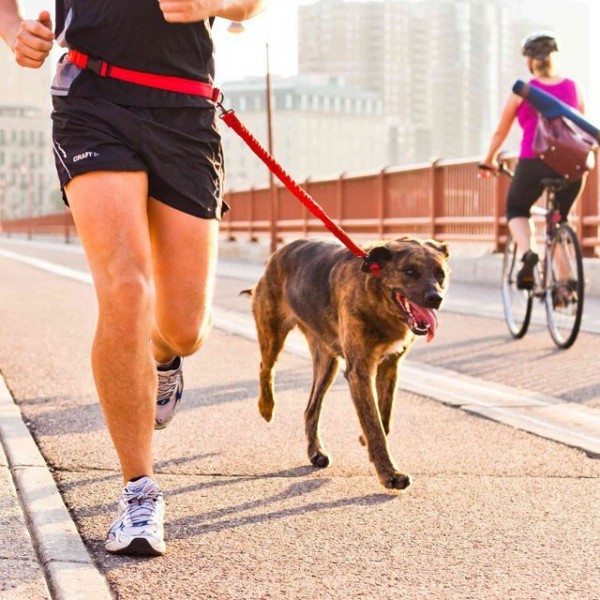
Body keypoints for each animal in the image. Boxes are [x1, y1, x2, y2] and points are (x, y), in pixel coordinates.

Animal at [246, 237, 448, 490]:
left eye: (440, 274)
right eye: (410, 271)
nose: (436, 298)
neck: (377, 297)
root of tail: (277, 253)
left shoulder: (390, 367)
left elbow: (383, 417)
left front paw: (372, 448)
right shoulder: (359, 372)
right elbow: (374, 425)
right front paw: (389, 473)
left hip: (327, 364)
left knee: (311, 408)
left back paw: (316, 452)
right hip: (272, 333)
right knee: (265, 367)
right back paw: (266, 406)